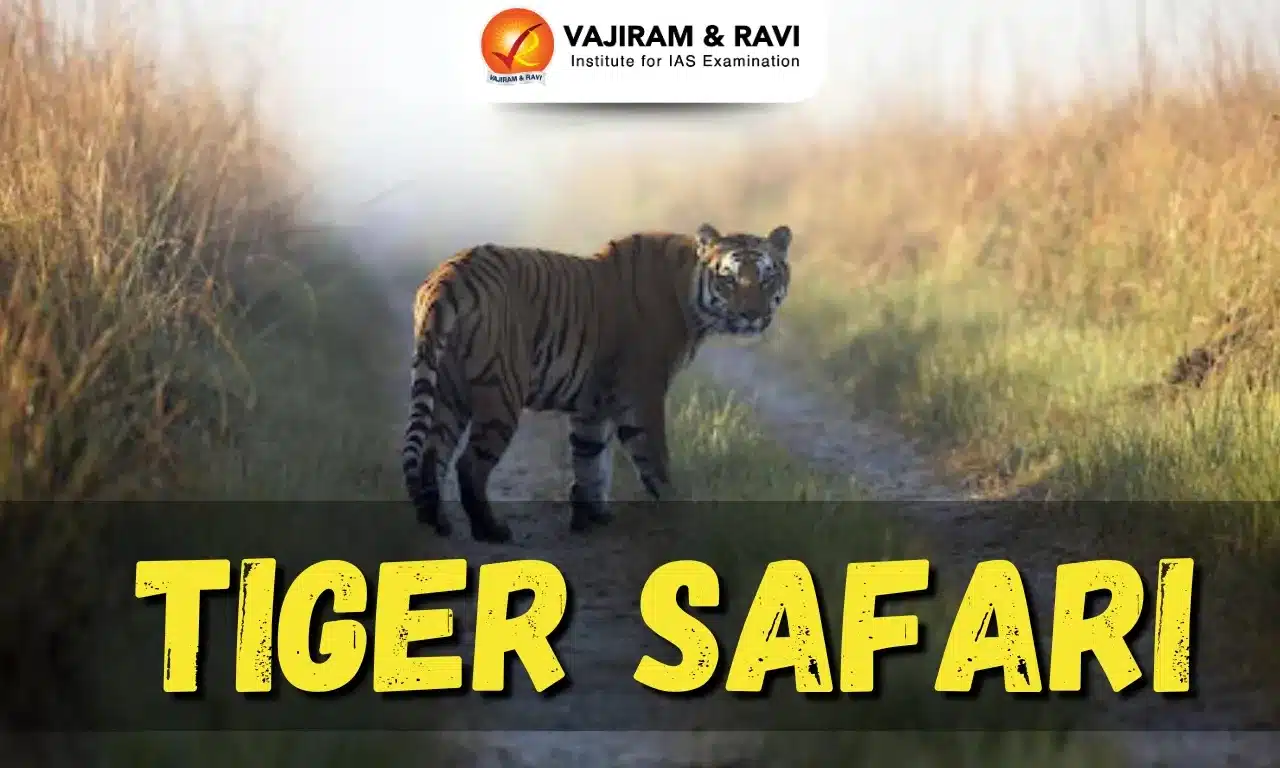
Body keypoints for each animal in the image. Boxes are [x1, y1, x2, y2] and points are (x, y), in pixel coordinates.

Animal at [401, 222, 793, 543]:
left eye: (767, 278)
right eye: (728, 279)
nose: (752, 315)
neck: (689, 295)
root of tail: (449, 275)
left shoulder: (594, 401)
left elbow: (590, 457)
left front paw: (591, 516)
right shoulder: (643, 393)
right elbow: (653, 458)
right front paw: (675, 512)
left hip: (449, 390)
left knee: (433, 453)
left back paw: (436, 522)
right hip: (500, 392)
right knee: (469, 464)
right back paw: (490, 530)